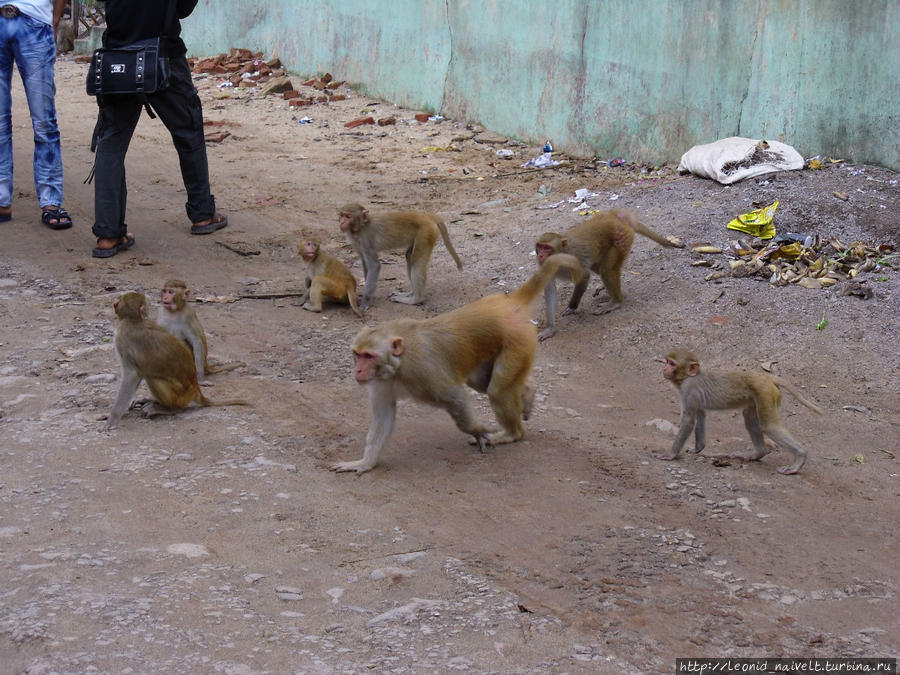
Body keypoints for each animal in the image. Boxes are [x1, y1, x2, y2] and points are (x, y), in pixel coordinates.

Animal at [109, 290, 250, 428]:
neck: (134, 320)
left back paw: (167, 409)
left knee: (152, 378)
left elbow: (131, 375)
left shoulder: (122, 338)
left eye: (119, 299)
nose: (114, 303)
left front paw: (113, 419)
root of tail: (196, 391)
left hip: (179, 397)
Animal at [330, 254, 584, 476]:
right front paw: (364, 463)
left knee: (497, 390)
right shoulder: (381, 382)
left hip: (518, 340)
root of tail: (507, 302)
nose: (358, 370)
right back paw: (529, 391)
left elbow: (455, 398)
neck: (397, 365)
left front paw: (478, 431)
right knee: (484, 383)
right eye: (357, 354)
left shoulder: (424, 371)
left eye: (369, 356)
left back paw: (512, 434)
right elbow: (384, 415)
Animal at [536, 209, 684, 340]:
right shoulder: (545, 265)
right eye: (539, 247)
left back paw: (615, 301)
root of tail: (613, 217)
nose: (541, 255)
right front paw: (550, 328)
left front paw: (572, 307)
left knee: (606, 270)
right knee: (599, 267)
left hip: (621, 239)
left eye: (547, 248)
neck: (561, 254)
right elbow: (550, 291)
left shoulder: (574, 258)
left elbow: (584, 276)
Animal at [652, 348, 824, 476]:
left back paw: (799, 458)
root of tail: (767, 378)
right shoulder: (695, 398)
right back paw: (757, 453)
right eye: (667, 361)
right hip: (760, 397)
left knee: (768, 426)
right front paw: (698, 448)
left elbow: (688, 421)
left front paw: (671, 455)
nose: (664, 368)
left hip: (766, 393)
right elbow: (700, 415)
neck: (688, 377)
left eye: (672, 363)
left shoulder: (689, 391)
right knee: (749, 418)